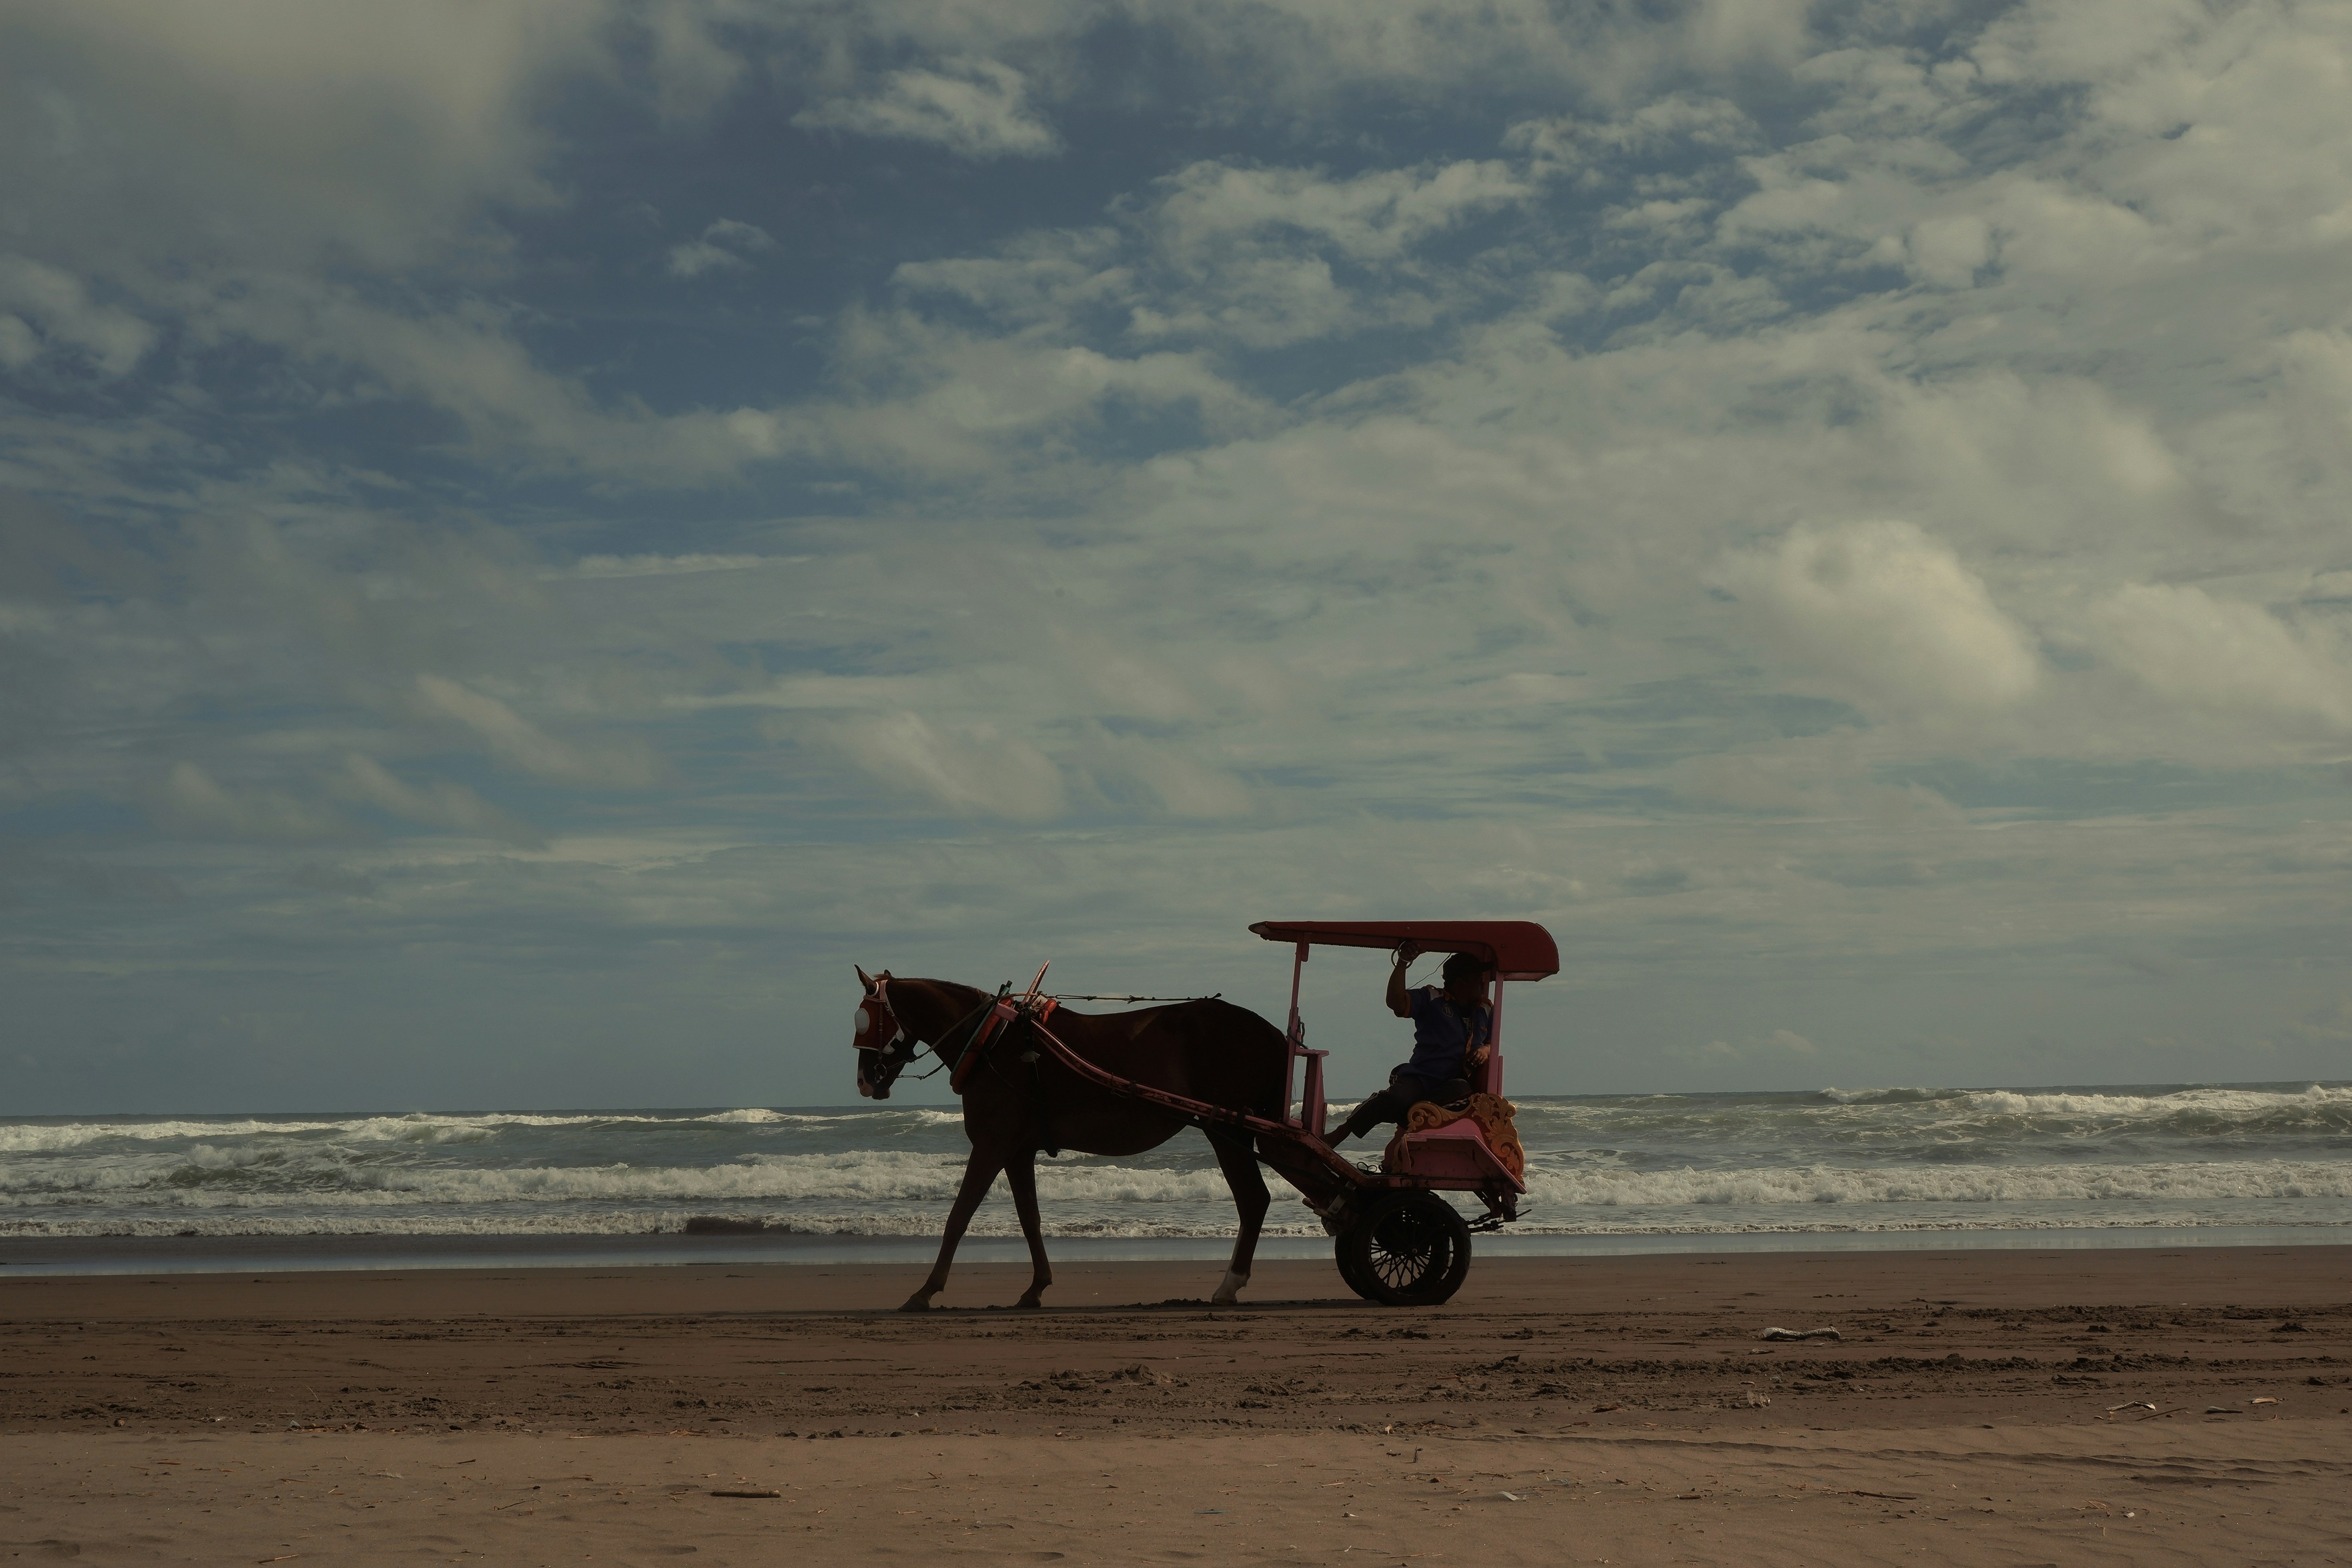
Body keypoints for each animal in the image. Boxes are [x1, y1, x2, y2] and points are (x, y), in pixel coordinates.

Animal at [852, 968, 1289, 1312]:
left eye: (862, 1020)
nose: (864, 1082)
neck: (990, 1040)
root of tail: (1271, 1032)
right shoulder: (1017, 1151)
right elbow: (1029, 1218)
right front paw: (1036, 1287)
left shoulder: (992, 1145)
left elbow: (959, 1217)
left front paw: (926, 1291)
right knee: (1255, 1200)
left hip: (1227, 1129)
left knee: (1253, 1200)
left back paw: (1230, 1283)